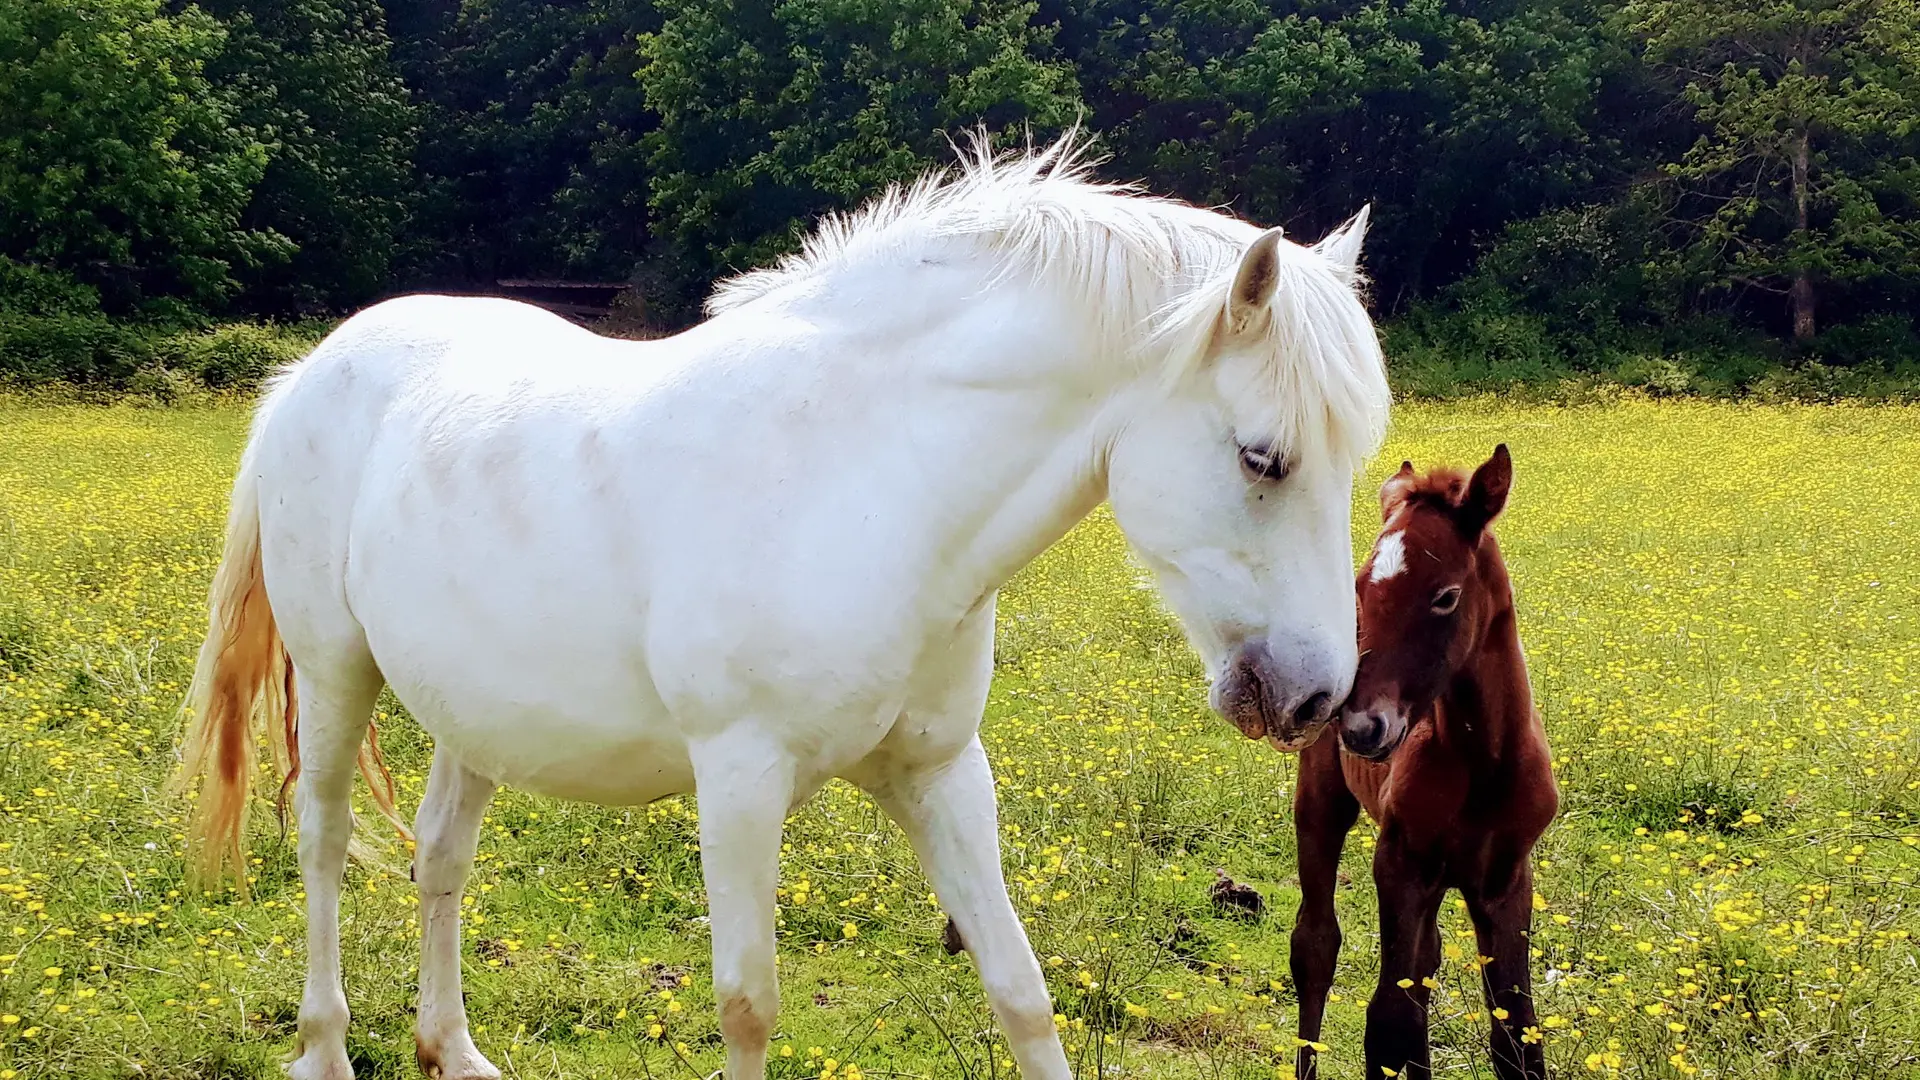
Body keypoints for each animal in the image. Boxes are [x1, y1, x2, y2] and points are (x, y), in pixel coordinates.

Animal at [172, 136, 1390, 1076]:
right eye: (1263, 458)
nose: (1317, 697)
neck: (865, 479)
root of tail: (314, 370)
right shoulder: (741, 782)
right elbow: (747, 1007)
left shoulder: (940, 774)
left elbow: (1021, 990)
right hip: (337, 674)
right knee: (324, 843)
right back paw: (324, 1047)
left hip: (473, 712)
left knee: (439, 859)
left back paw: (453, 1050)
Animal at [1290, 441, 1559, 1068]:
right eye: (1359, 589)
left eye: (1446, 597)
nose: (1361, 725)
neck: (1486, 764)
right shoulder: (1401, 863)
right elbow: (1392, 1024)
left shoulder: (1507, 879)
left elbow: (1517, 1034)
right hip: (1321, 800)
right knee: (1315, 946)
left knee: (1427, 959)